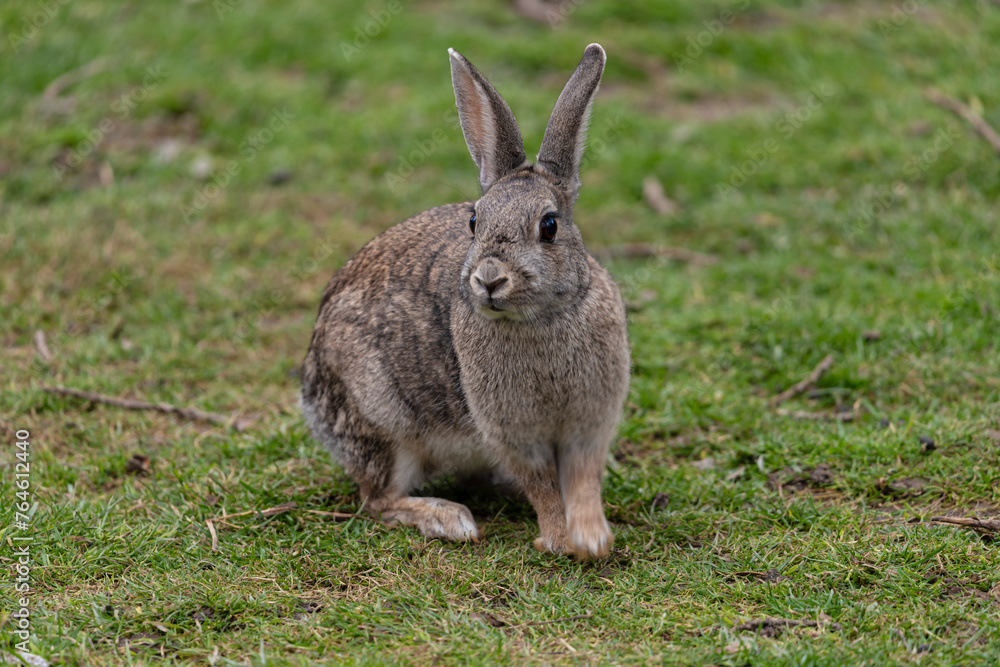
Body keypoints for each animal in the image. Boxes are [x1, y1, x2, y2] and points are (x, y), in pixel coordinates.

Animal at [301, 43, 630, 559]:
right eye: (475, 221)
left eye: (549, 226)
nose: (489, 279)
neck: (541, 319)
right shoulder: (513, 431)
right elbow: (542, 483)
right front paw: (561, 539)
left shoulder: (589, 421)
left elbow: (581, 479)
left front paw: (593, 537)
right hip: (381, 421)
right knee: (378, 500)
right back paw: (449, 518)